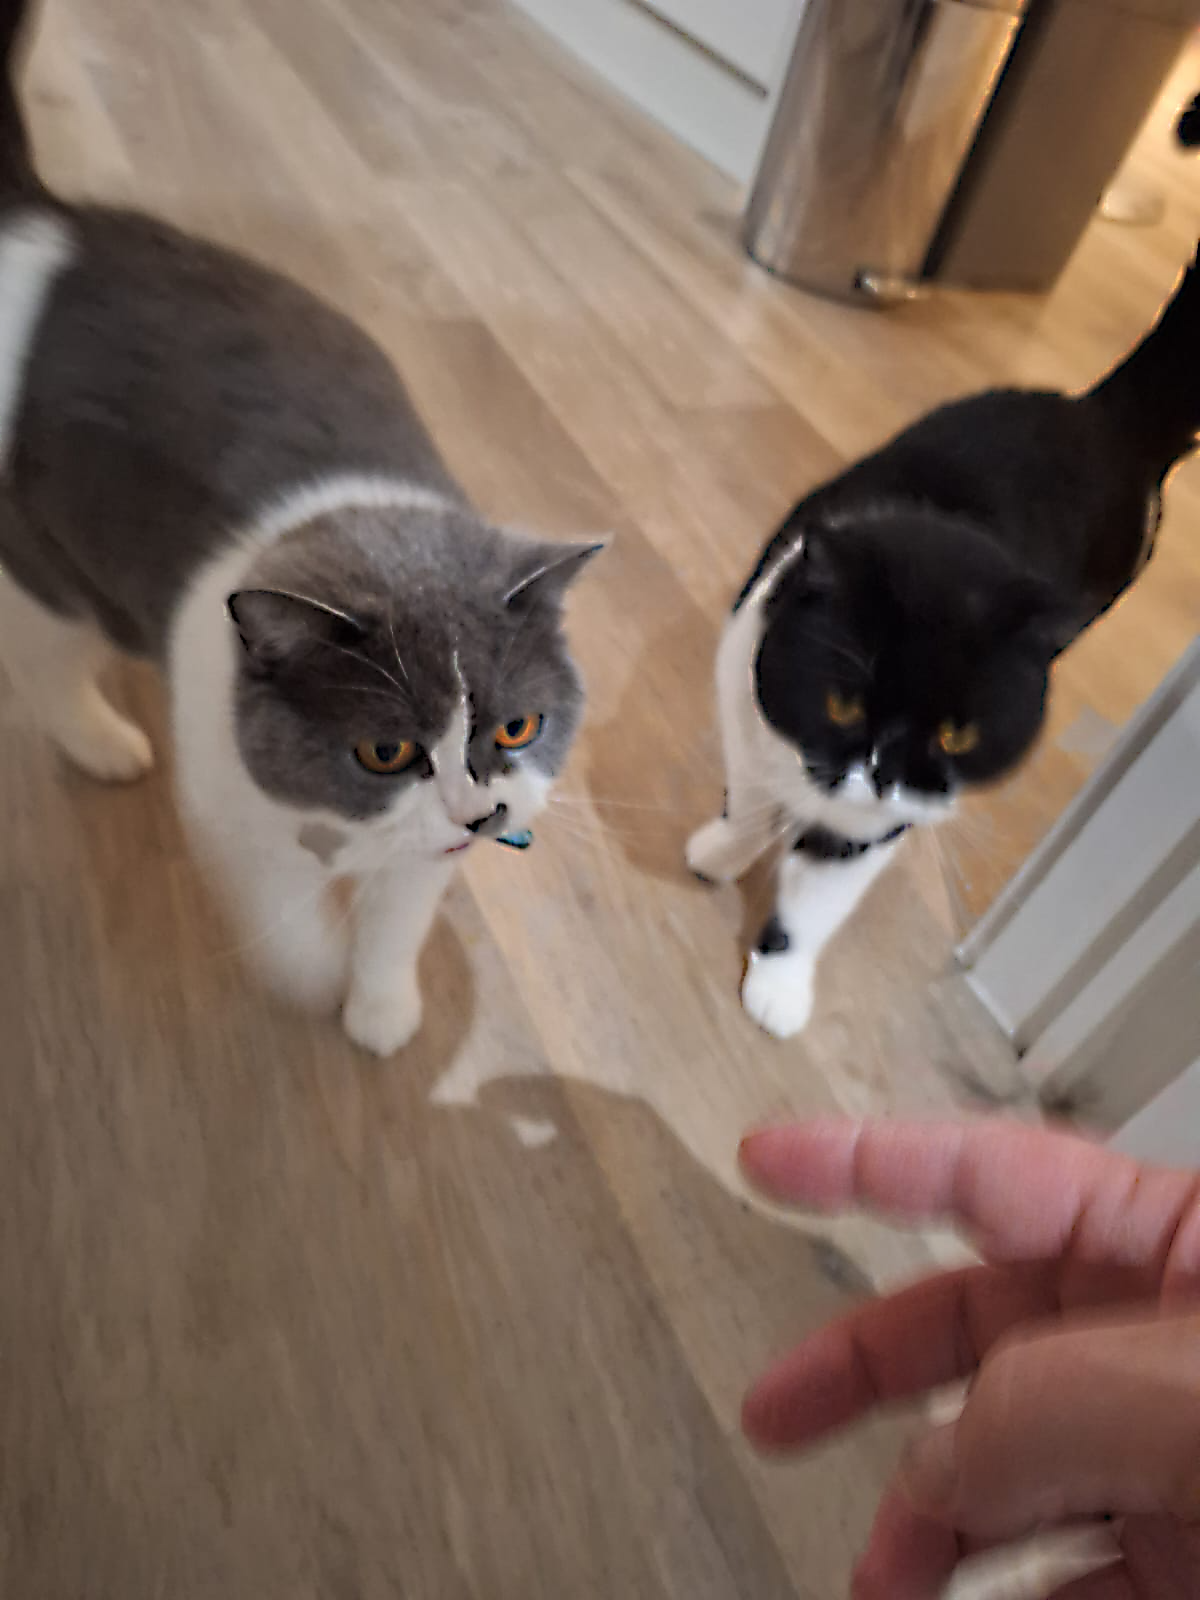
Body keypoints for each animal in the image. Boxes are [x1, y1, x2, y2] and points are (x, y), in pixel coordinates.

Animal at [0, 0, 601, 1055]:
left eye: (519, 727)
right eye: (385, 751)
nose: (479, 811)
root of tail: (53, 224)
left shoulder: (424, 857)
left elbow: (399, 916)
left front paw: (382, 1009)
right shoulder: (232, 815)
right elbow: (284, 923)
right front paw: (320, 978)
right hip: (50, 569)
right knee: (46, 657)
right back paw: (102, 743)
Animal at [687, 240, 1200, 1039]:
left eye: (958, 735)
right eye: (842, 705)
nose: (882, 772)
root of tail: (1106, 416)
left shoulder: (885, 821)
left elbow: (819, 895)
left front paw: (780, 989)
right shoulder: (743, 702)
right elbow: (747, 801)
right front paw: (720, 851)